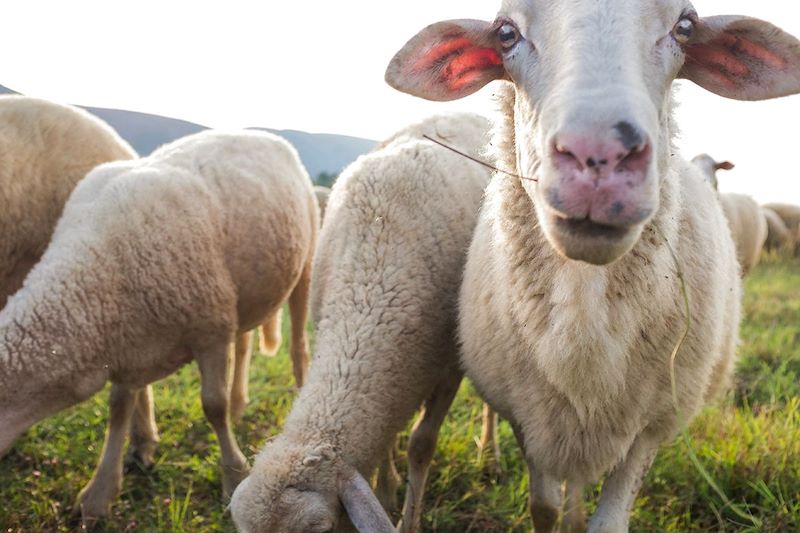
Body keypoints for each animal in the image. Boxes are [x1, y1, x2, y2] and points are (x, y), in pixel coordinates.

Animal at [0, 129, 318, 520]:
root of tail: (261, 133)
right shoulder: (128, 345)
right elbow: (118, 410)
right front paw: (100, 492)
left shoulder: (210, 329)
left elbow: (213, 406)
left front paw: (233, 475)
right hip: (244, 296)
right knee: (244, 345)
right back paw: (240, 403)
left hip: (303, 268)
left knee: (298, 344)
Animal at [230, 112, 494, 532]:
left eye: (318, 530)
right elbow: (385, 440)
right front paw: (386, 490)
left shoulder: (450, 367)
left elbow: (421, 445)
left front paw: (409, 520)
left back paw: (490, 450)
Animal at [384, 3, 796, 528]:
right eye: (505, 33)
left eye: (685, 27)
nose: (599, 155)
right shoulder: (531, 419)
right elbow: (543, 508)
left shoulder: (651, 425)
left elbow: (607, 522)